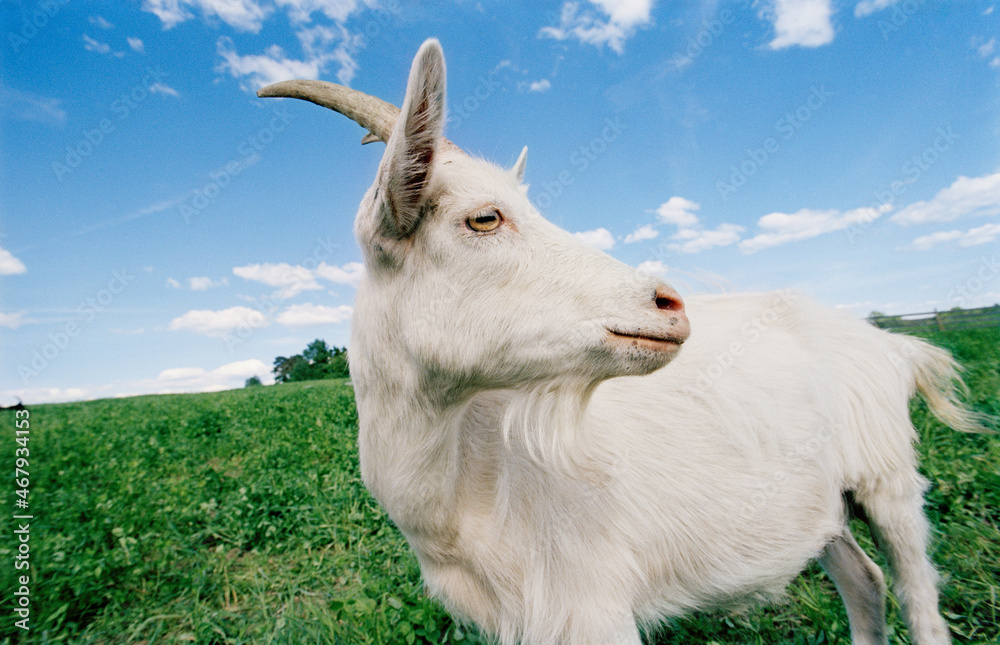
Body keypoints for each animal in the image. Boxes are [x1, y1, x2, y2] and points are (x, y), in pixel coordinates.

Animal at [258, 39, 985, 645]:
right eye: (484, 218)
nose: (668, 303)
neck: (467, 484)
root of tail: (888, 343)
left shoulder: (590, 604)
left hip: (889, 480)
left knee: (916, 593)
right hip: (820, 505)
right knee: (865, 581)